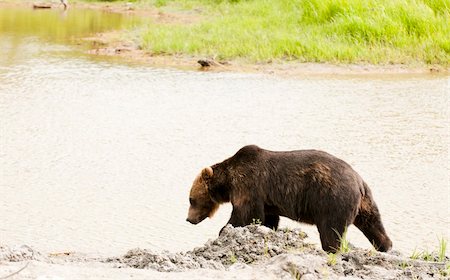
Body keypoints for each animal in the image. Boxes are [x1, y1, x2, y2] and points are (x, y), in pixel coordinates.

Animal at [185, 145, 392, 253]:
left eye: (191, 199)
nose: (189, 219)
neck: (227, 183)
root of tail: (358, 180)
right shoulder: (267, 200)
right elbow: (267, 219)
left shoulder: (248, 186)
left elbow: (244, 215)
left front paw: (224, 231)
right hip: (365, 202)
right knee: (373, 223)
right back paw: (385, 246)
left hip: (331, 199)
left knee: (331, 231)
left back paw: (332, 249)